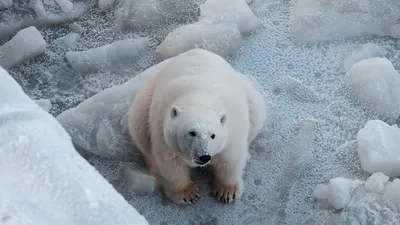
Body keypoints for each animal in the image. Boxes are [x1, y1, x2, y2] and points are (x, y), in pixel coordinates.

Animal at [128, 48, 266, 205]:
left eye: (213, 135)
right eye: (192, 132)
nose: (204, 156)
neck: (199, 97)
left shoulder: (232, 128)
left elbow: (230, 158)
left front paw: (227, 192)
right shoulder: (161, 129)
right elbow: (170, 162)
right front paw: (187, 194)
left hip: (251, 97)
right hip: (144, 100)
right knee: (139, 129)